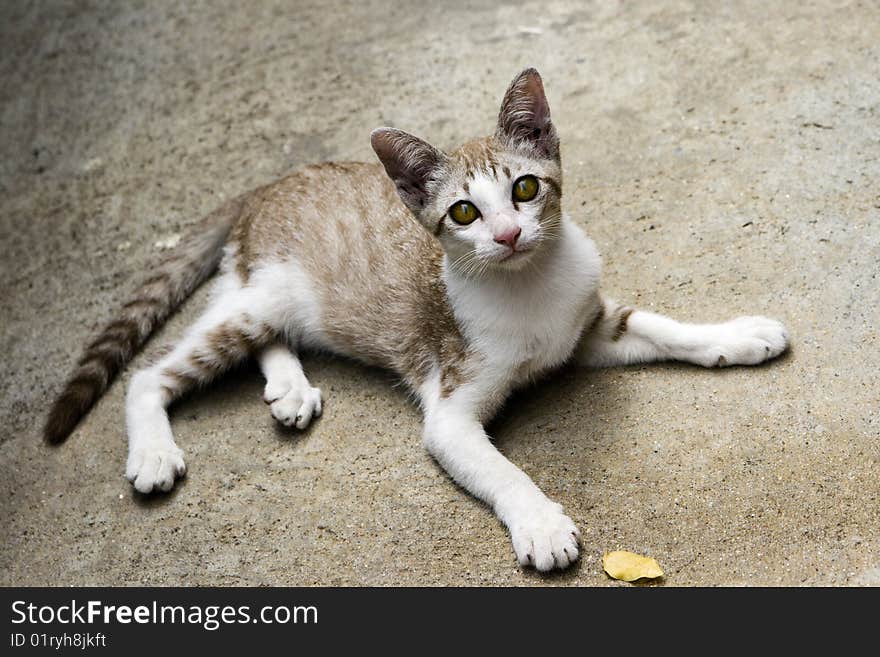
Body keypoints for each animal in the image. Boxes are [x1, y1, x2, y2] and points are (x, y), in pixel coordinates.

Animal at [44, 68, 792, 568]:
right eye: (462, 212)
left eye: (526, 188)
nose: (508, 235)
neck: (528, 289)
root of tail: (268, 184)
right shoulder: (450, 411)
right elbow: (502, 470)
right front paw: (540, 523)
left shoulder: (584, 327)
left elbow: (664, 326)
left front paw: (736, 335)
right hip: (266, 297)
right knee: (152, 371)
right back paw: (154, 449)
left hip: (263, 297)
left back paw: (289, 388)